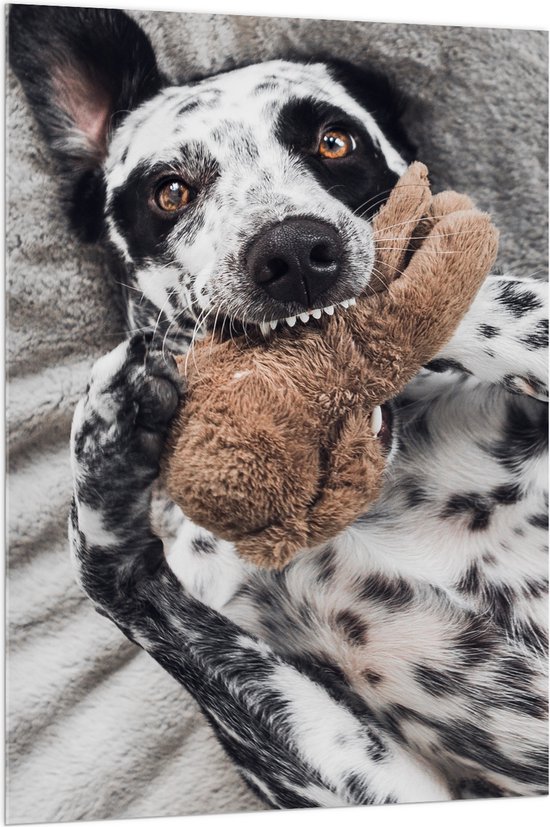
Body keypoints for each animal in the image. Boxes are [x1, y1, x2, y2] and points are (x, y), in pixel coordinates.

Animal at [10, 4, 548, 808]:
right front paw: (105, 445)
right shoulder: (384, 787)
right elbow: (112, 571)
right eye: (171, 190)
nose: (295, 253)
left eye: (335, 141)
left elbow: (504, 301)